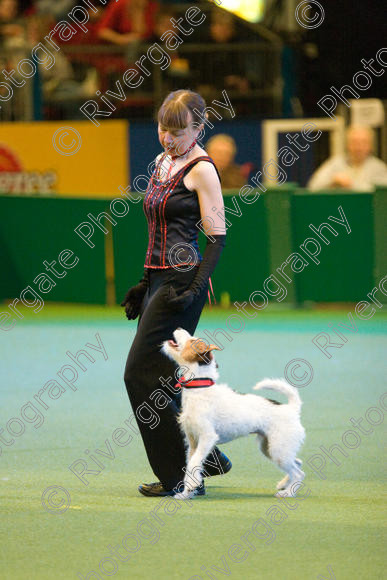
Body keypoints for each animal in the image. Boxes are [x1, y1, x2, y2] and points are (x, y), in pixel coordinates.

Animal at [161, 326, 306, 498]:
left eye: (193, 340)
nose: (177, 327)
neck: (199, 387)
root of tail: (292, 408)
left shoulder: (207, 438)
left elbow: (194, 463)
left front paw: (191, 487)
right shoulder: (193, 441)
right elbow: (191, 465)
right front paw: (186, 493)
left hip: (278, 450)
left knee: (298, 473)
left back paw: (288, 492)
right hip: (270, 448)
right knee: (298, 463)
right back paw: (284, 484)